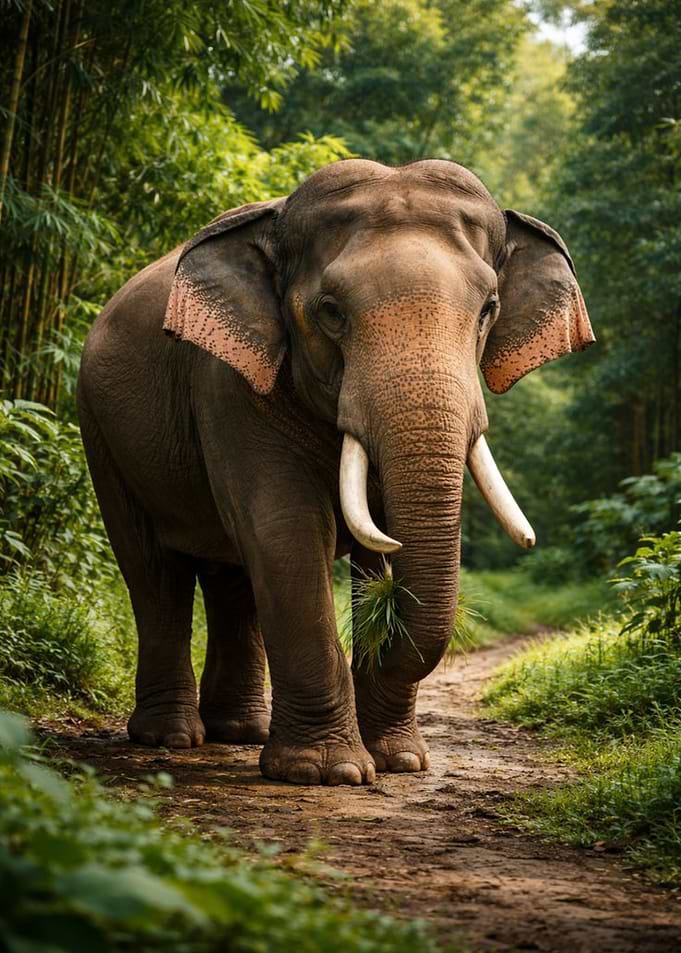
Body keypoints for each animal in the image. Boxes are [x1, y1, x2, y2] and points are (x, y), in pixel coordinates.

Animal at [77, 158, 594, 786]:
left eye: (488, 309)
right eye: (330, 312)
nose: (384, 617)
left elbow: (356, 540)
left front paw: (401, 762)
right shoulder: (226, 382)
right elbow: (286, 529)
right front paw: (328, 772)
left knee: (231, 577)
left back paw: (239, 732)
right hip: (100, 431)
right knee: (154, 570)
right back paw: (171, 738)